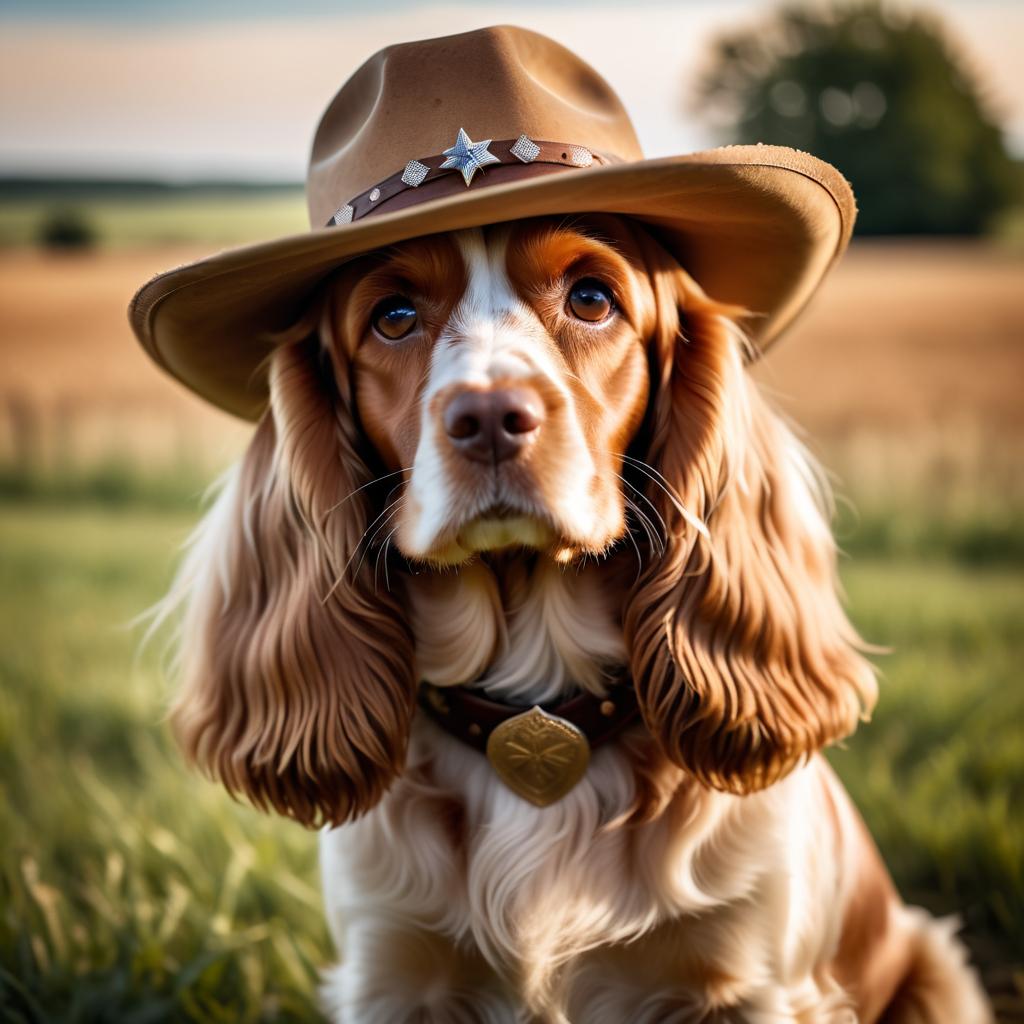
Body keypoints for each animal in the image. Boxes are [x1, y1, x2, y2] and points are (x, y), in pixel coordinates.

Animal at [157, 211, 991, 1019]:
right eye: (392, 316)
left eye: (592, 297)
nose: (491, 414)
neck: (536, 693)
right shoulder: (393, 974)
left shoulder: (749, 982)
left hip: (934, 970)